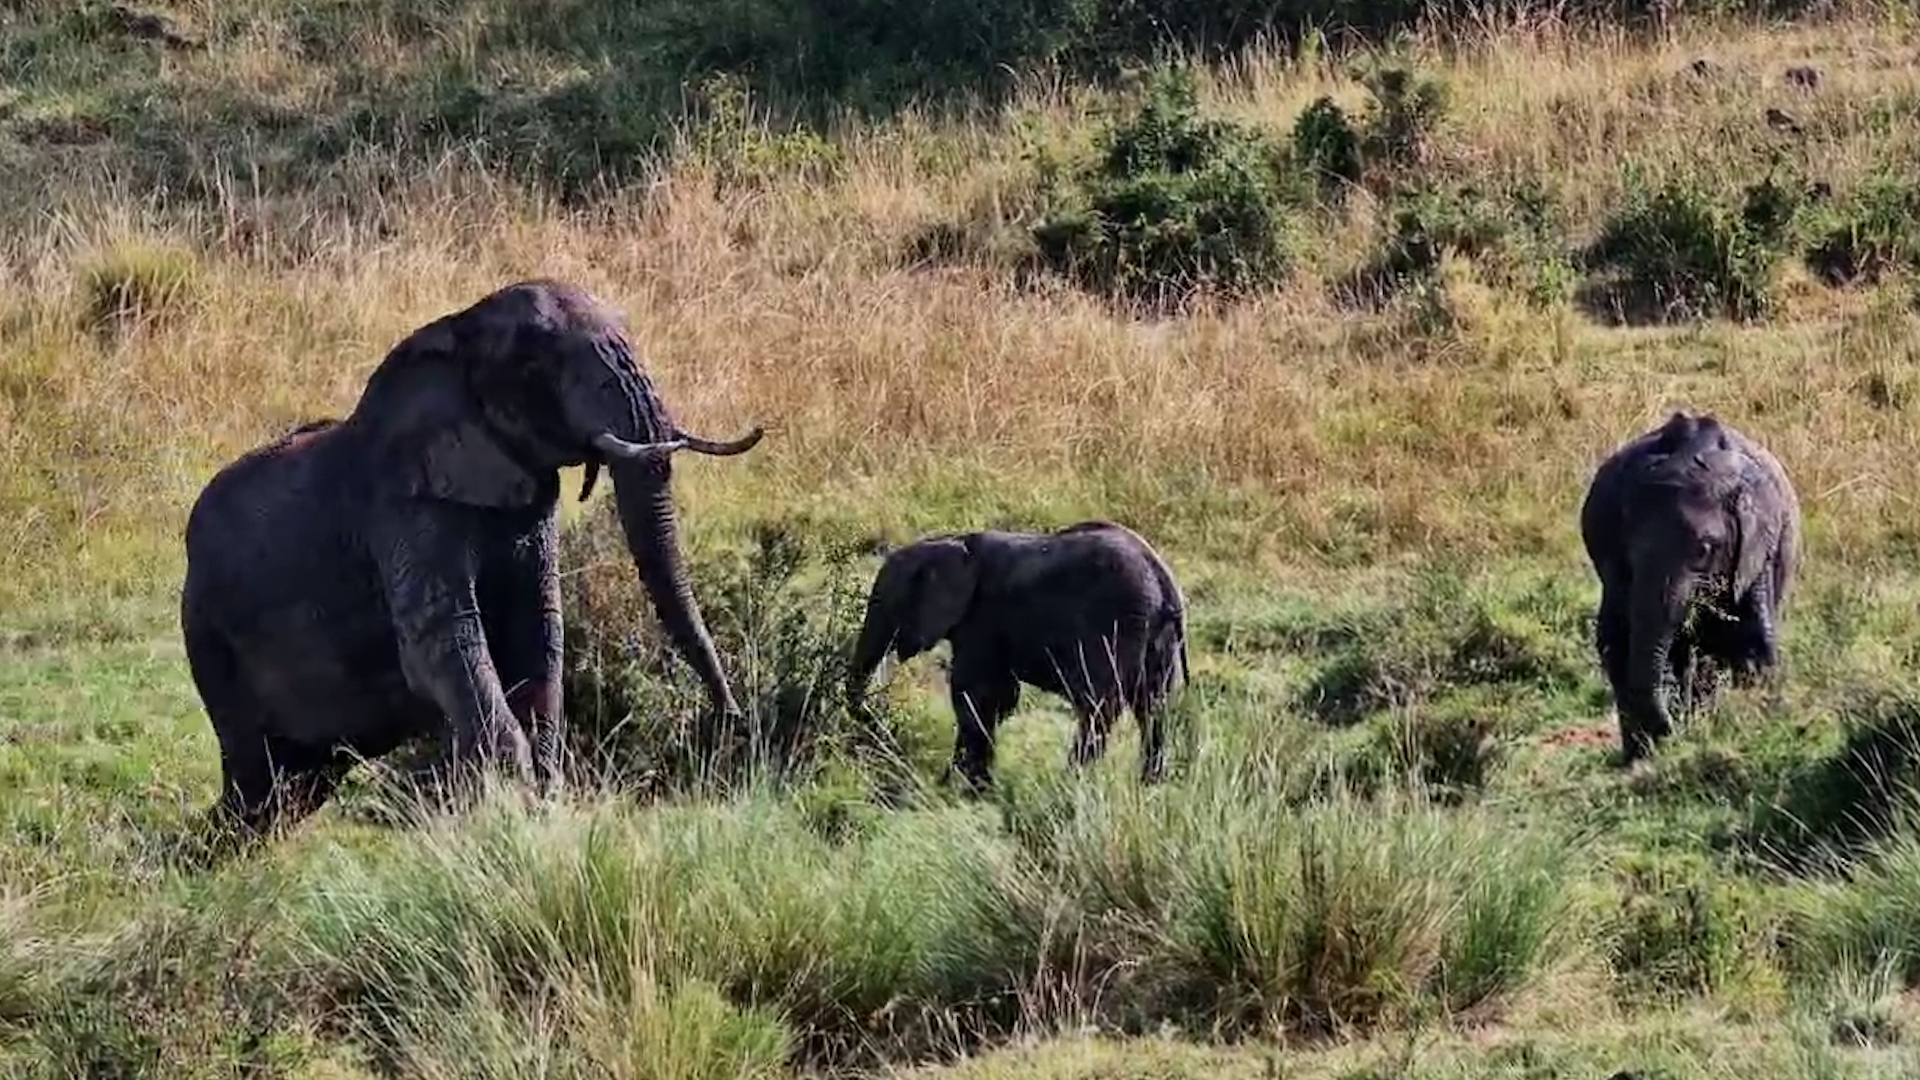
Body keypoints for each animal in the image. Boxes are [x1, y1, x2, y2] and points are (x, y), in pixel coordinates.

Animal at [180, 278, 766, 836]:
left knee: (291, 789)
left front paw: (537, 802)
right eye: (536, 366)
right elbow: (443, 644)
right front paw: (507, 805)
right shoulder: (403, 511)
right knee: (259, 782)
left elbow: (539, 633)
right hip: (208, 639)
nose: (731, 718)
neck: (456, 333)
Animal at [845, 520, 1189, 789]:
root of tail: (1166, 587)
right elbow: (998, 697)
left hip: (1115, 625)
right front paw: (972, 784)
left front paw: (961, 786)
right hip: (1158, 640)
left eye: (893, 603)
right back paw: (1149, 786)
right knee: (1154, 707)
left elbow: (973, 694)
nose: (878, 724)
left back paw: (1069, 782)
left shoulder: (982, 617)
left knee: (1100, 708)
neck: (952, 541)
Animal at [1579, 409, 1800, 764]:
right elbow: (1617, 645)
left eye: (1705, 550)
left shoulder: (1758, 549)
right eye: (1630, 550)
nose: (1670, 728)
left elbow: (1749, 642)